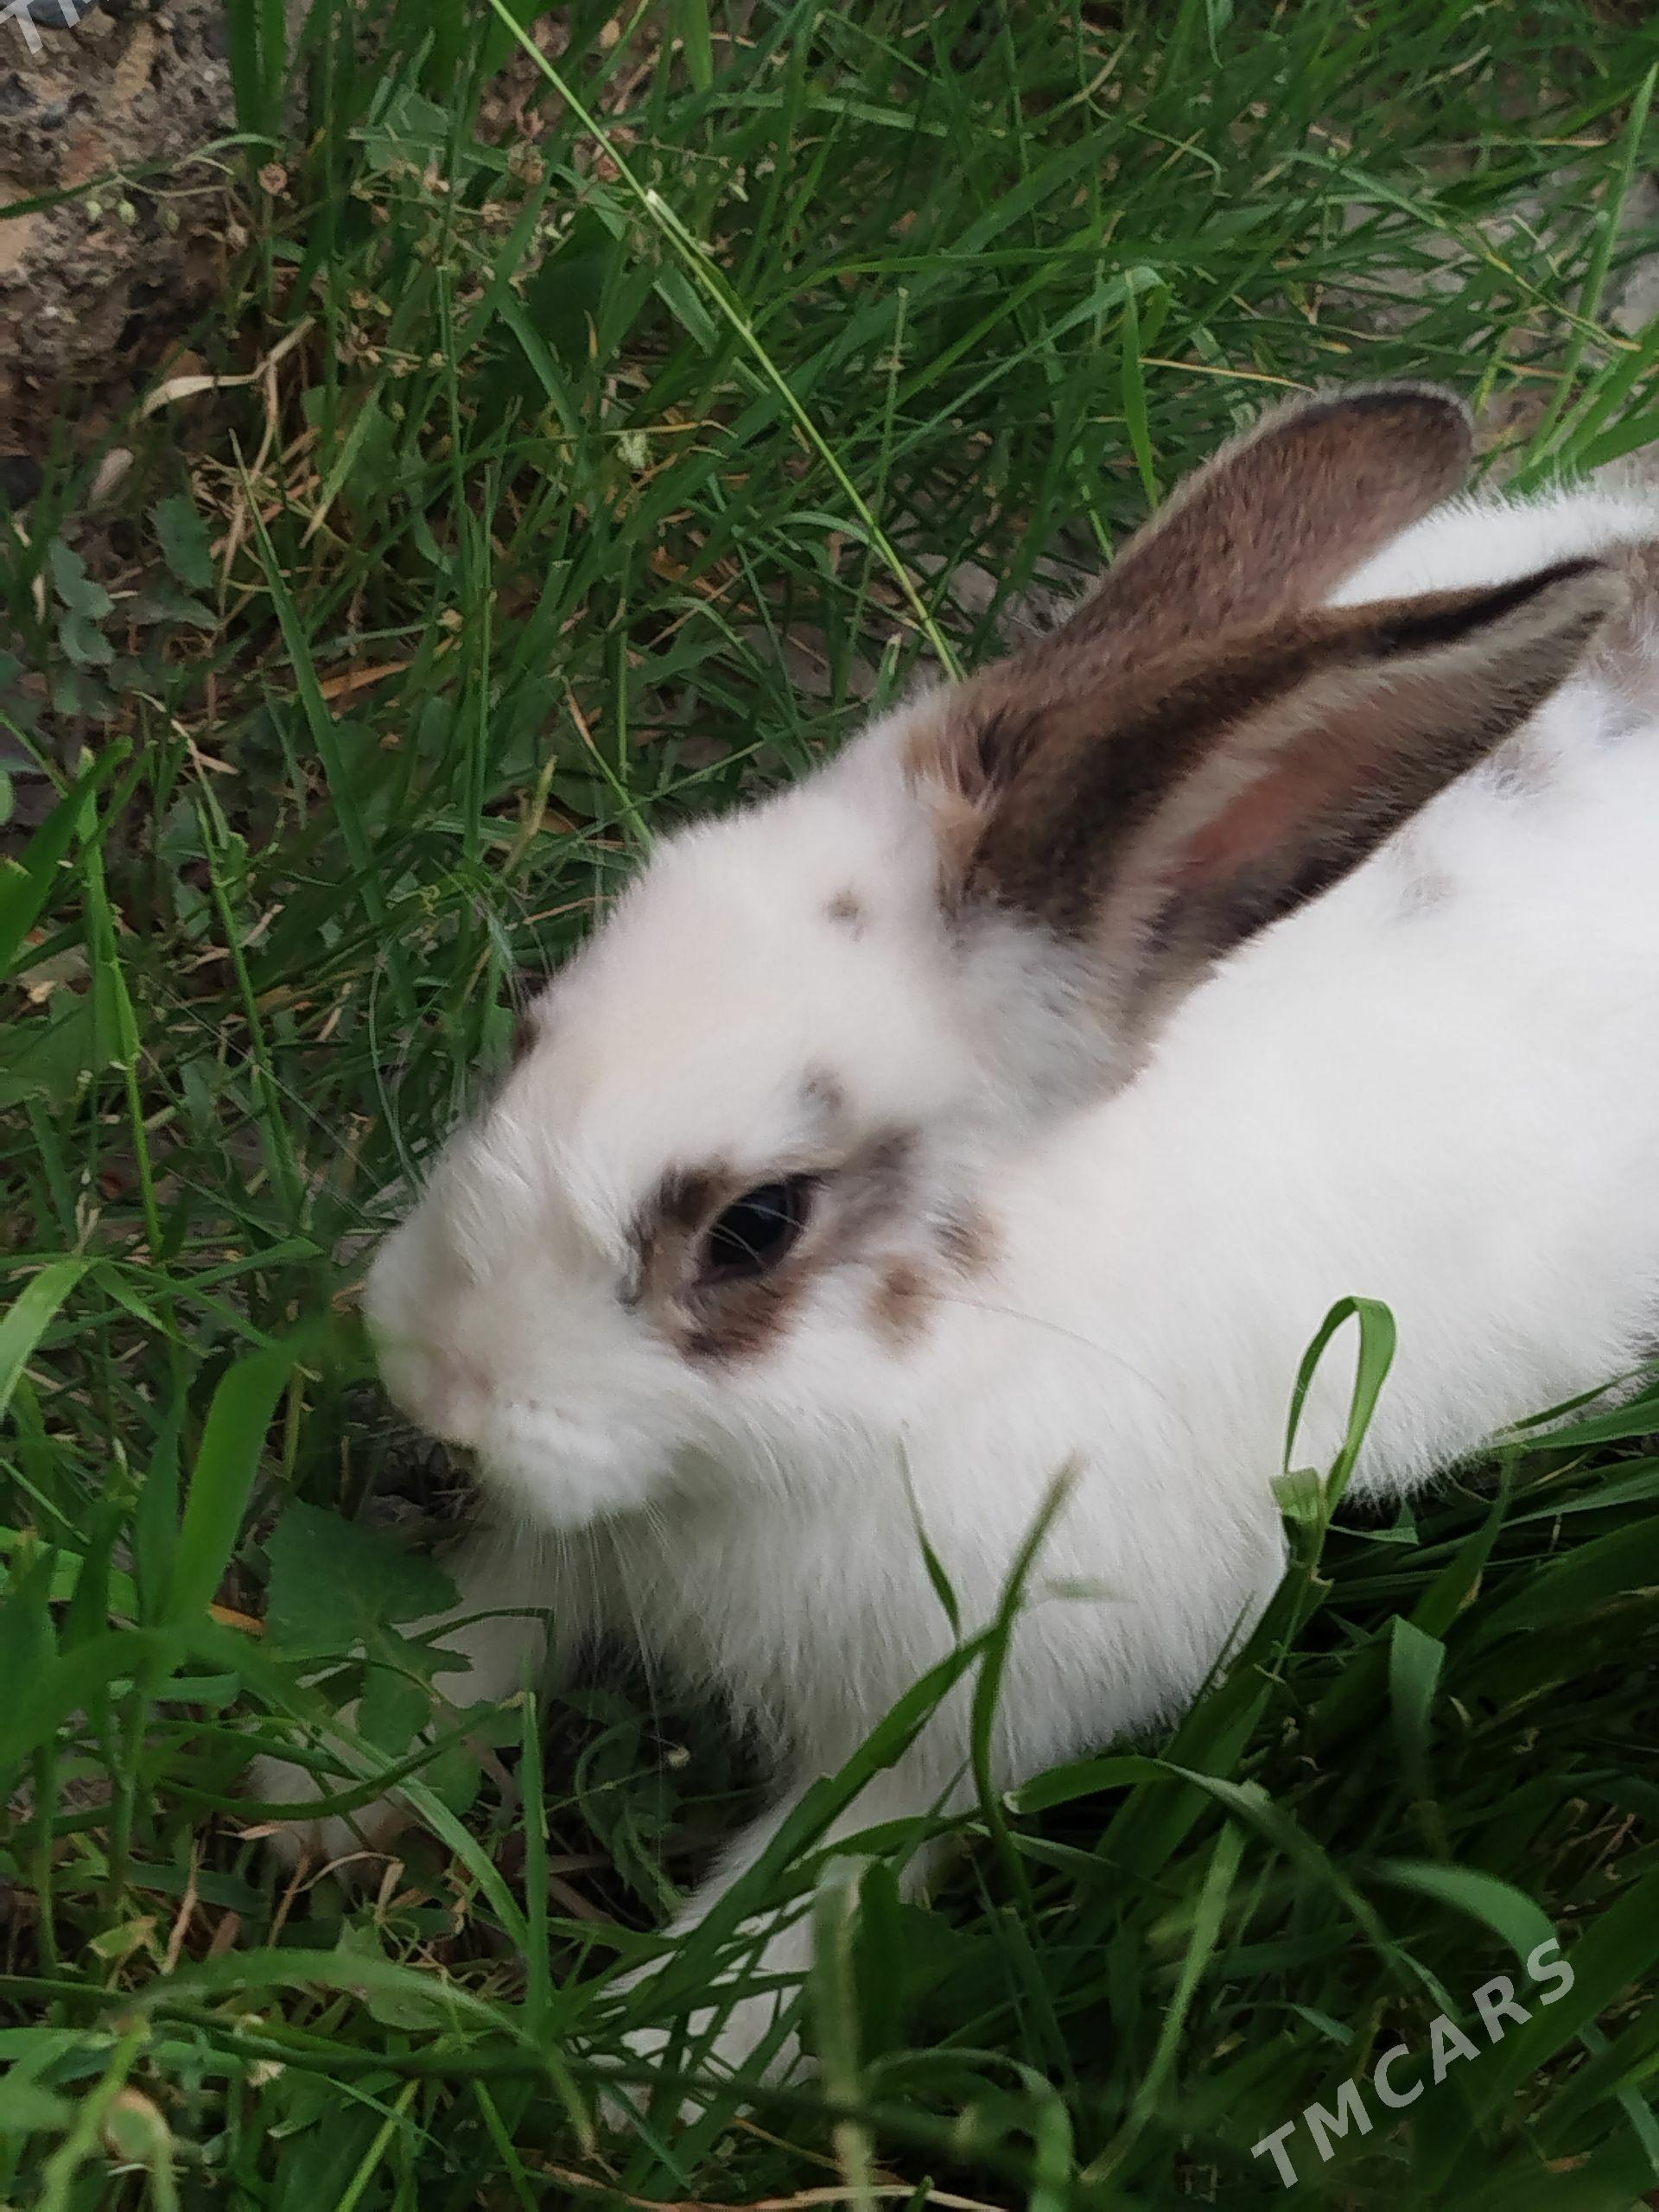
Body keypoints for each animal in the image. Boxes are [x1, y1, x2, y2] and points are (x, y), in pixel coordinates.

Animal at [257, 383, 1659, 2102]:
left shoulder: (981, 1700)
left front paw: (645, 2059)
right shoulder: (582, 1539)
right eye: (531, 1019)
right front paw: (319, 1776)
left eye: (759, 1226)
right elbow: (483, 1632)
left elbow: (822, 1872)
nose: (437, 1381)